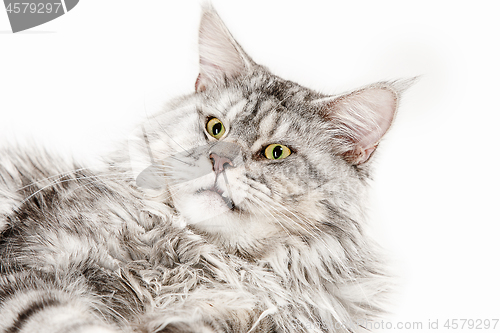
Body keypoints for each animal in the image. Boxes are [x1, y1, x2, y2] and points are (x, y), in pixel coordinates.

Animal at [0, 5, 410, 332]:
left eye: (276, 152)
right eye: (216, 128)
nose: (219, 160)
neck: (201, 260)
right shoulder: (27, 268)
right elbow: (59, 318)